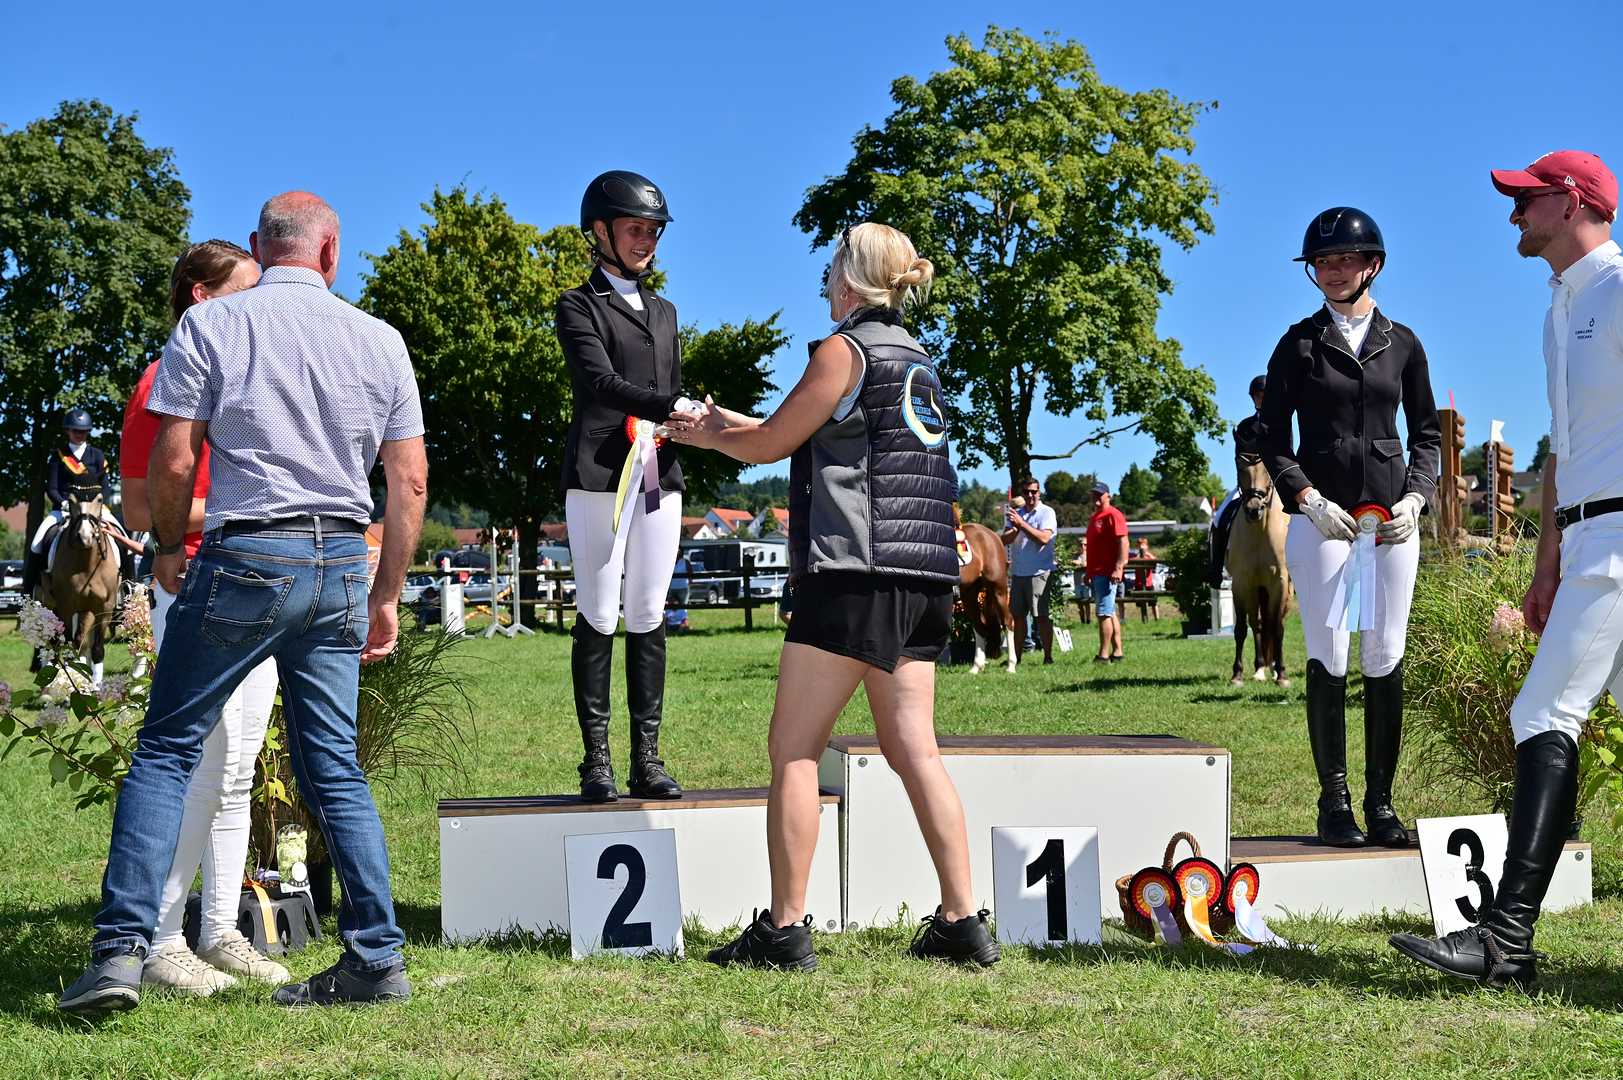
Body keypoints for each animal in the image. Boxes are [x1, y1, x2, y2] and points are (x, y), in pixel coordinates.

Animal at [41, 495, 122, 687]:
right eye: (71, 501)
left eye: (100, 499)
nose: (84, 537)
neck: (87, 565)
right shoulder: (66, 608)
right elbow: (68, 647)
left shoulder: (104, 609)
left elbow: (97, 649)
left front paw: (95, 688)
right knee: (56, 643)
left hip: (87, 612)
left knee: (82, 642)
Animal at [954, 511, 1017, 675]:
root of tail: (992, 535)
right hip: (969, 594)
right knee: (979, 627)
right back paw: (976, 667)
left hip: (998, 588)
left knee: (1007, 622)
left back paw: (1011, 666)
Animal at [1225, 453, 1291, 687]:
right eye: (1239, 467)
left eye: (1267, 469)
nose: (1254, 509)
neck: (1260, 530)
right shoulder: (1241, 583)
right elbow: (1241, 629)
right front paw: (1237, 675)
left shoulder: (1279, 582)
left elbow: (1278, 627)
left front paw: (1282, 675)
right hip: (1255, 590)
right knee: (1257, 624)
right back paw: (1260, 669)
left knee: (1272, 623)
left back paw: (1273, 669)